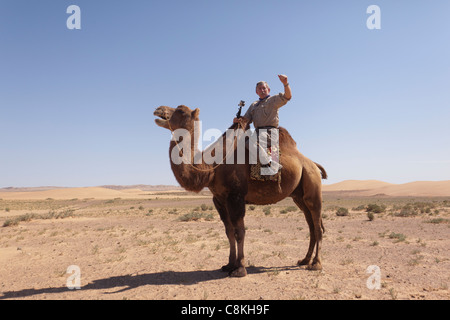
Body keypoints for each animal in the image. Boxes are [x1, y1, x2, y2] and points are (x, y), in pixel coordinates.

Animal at [154, 105, 326, 278]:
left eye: (181, 111)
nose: (158, 110)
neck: (212, 167)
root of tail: (312, 163)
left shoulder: (236, 197)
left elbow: (240, 232)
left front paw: (240, 268)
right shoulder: (219, 199)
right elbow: (229, 232)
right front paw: (229, 264)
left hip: (312, 185)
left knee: (317, 226)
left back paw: (316, 264)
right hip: (298, 196)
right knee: (311, 225)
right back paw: (304, 260)